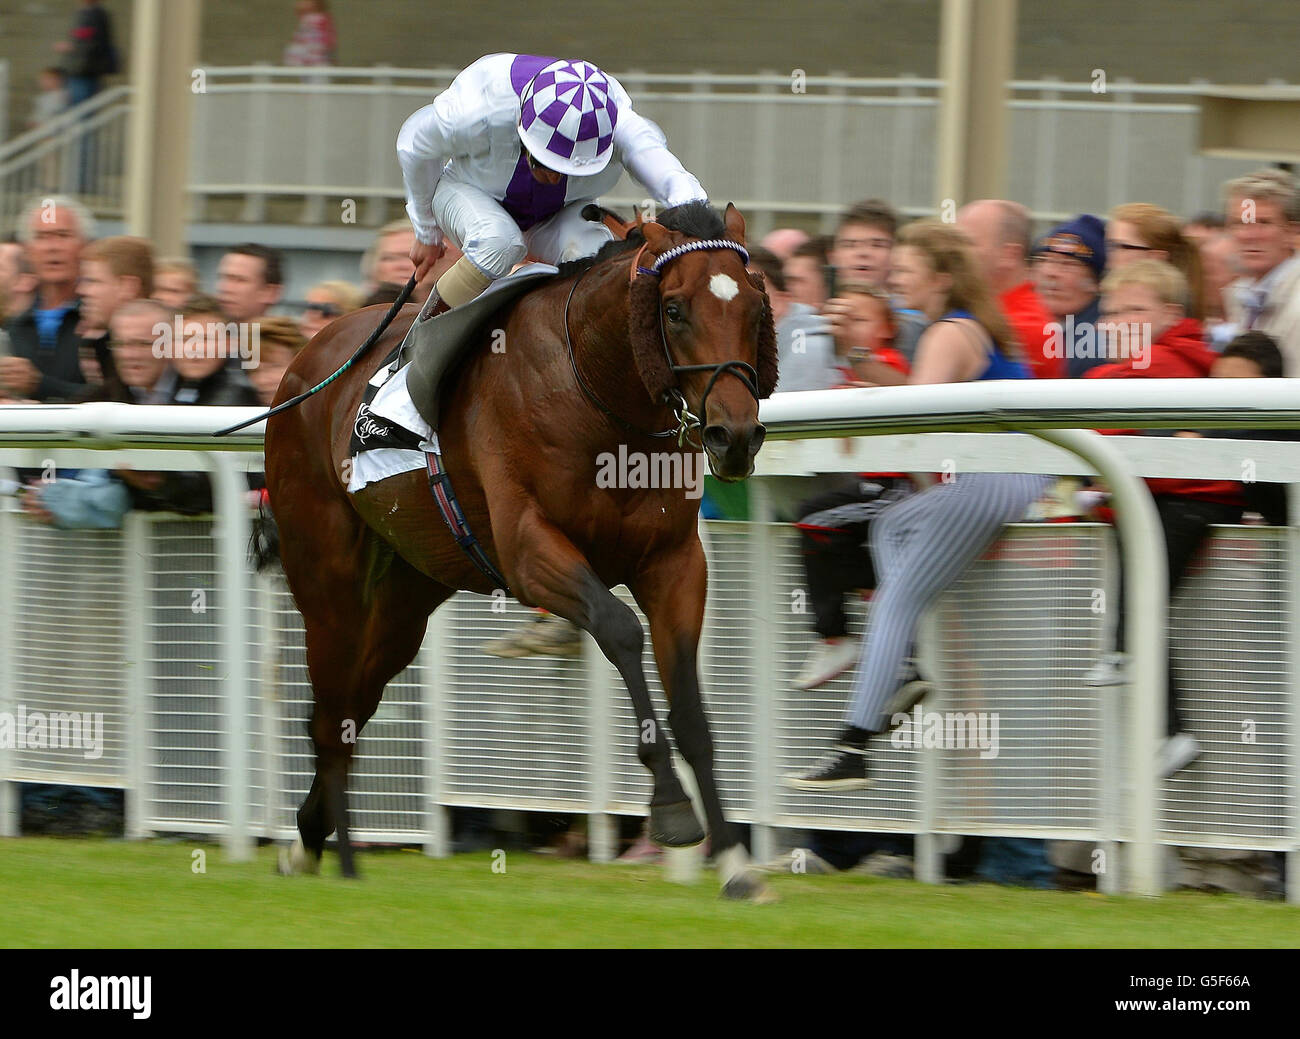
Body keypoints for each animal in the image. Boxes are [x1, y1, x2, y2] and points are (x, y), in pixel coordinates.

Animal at [261, 200, 778, 900]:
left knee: (358, 696)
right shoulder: (532, 552)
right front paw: (671, 807)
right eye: (673, 310)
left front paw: (735, 861)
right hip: (327, 577)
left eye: (753, 306)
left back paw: (311, 836)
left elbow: (693, 710)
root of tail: (308, 358)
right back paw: (336, 854)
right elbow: (619, 629)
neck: (596, 393)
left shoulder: (673, 563)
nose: (735, 436)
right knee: (331, 704)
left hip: (409, 593)